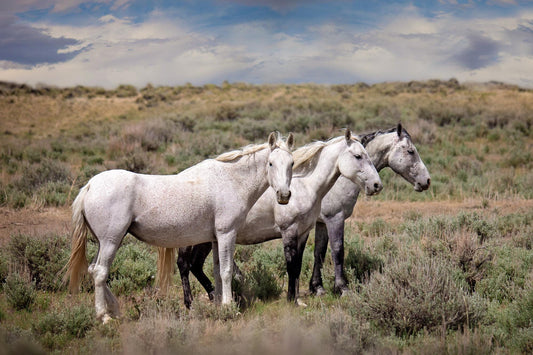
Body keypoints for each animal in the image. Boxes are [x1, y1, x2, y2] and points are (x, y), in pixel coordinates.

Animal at [65, 131, 296, 322]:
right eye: (271, 163)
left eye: (292, 163)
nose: (284, 195)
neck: (230, 180)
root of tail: (90, 186)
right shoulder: (227, 234)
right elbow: (227, 271)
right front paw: (229, 307)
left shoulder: (215, 238)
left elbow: (216, 271)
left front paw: (218, 305)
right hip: (111, 241)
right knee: (100, 272)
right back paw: (104, 316)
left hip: (106, 242)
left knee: (94, 270)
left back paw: (114, 310)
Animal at [172, 129, 380, 308]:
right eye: (358, 156)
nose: (377, 185)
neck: (306, 185)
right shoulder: (290, 230)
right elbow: (292, 265)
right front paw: (291, 300)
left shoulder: (303, 232)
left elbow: (298, 265)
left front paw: (298, 300)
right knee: (184, 264)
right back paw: (191, 303)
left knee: (195, 265)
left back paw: (214, 296)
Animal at [310, 124, 430, 296]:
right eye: (411, 151)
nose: (427, 181)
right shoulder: (335, 219)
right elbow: (337, 251)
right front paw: (342, 288)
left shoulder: (322, 222)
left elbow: (319, 252)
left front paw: (317, 287)